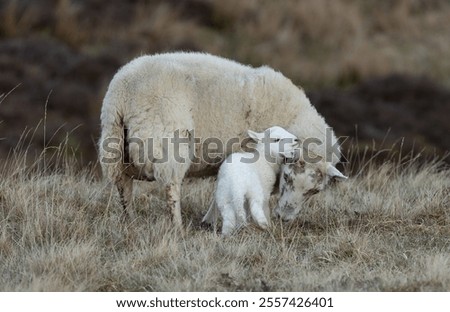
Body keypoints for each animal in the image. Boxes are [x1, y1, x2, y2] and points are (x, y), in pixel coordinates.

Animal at [99, 51, 344, 227]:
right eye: (288, 178)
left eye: (314, 191)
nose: (284, 217)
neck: (292, 116)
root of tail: (122, 92)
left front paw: (209, 220)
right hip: (167, 140)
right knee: (171, 187)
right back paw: (177, 226)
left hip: (115, 146)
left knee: (123, 186)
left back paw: (130, 221)